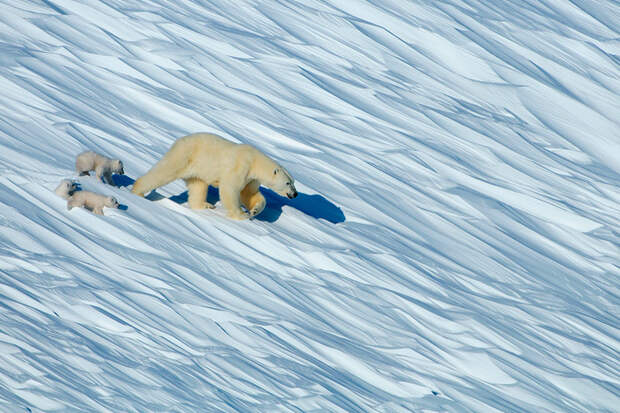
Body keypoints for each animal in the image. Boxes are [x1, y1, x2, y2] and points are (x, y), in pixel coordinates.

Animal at [131, 134, 298, 220]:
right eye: (288, 183)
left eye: (293, 182)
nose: (295, 194)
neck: (255, 161)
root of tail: (179, 140)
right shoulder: (240, 166)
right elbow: (230, 188)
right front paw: (241, 214)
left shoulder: (251, 178)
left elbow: (249, 193)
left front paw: (254, 211)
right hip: (185, 156)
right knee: (164, 172)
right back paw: (138, 191)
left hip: (198, 170)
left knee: (198, 186)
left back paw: (205, 205)